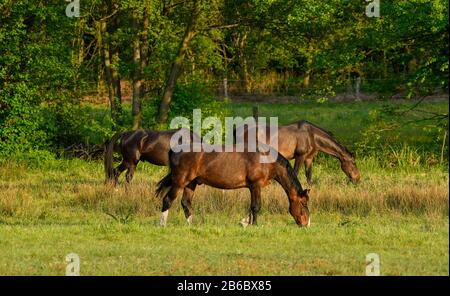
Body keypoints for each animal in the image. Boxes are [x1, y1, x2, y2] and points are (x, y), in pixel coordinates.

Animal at [156, 145, 310, 227]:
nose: (306, 224)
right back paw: (162, 224)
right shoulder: (255, 185)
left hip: (191, 183)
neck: (266, 160)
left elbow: (251, 206)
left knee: (186, 203)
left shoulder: (252, 187)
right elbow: (256, 206)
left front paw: (246, 222)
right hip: (180, 182)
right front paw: (254, 225)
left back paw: (191, 225)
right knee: (167, 200)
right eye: (303, 203)